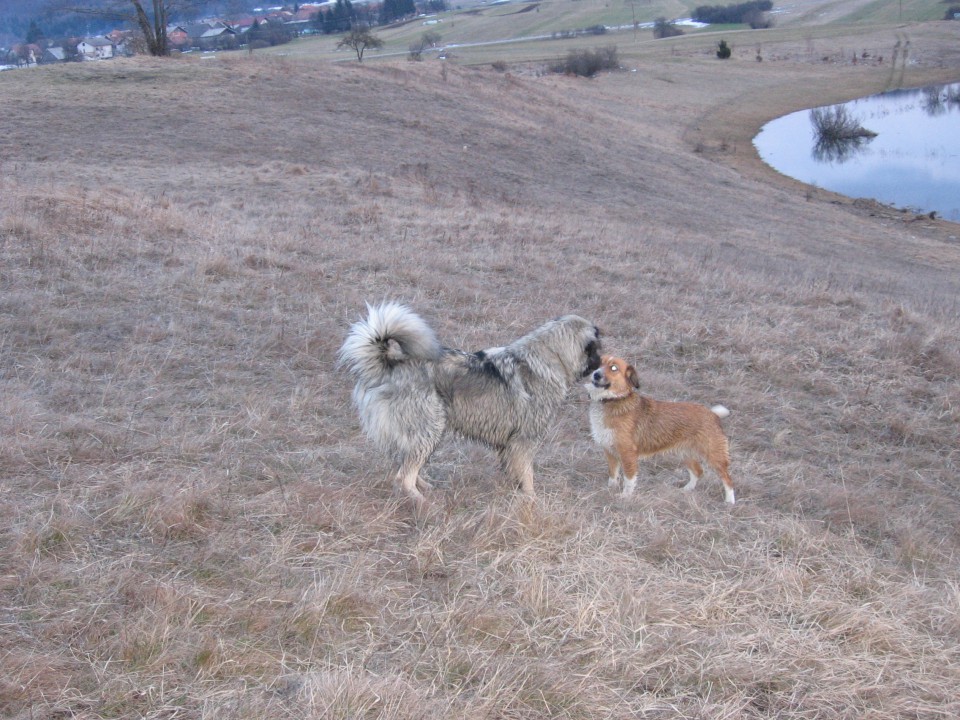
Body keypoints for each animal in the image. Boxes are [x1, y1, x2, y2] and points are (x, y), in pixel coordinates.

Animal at [338, 300, 600, 498]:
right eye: (596, 350)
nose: (600, 365)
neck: (549, 358)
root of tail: (389, 363)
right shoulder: (524, 441)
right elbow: (528, 475)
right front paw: (531, 499)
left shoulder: (510, 446)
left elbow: (514, 472)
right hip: (430, 428)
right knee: (404, 477)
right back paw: (422, 503)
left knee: (403, 465)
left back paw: (426, 487)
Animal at [584, 356, 736, 504]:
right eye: (599, 363)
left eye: (614, 368)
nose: (596, 374)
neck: (613, 400)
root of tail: (713, 414)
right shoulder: (609, 451)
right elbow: (612, 474)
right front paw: (610, 489)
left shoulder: (628, 454)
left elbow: (629, 479)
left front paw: (626, 497)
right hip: (684, 453)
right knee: (698, 472)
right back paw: (687, 489)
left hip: (713, 456)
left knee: (727, 478)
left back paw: (730, 501)